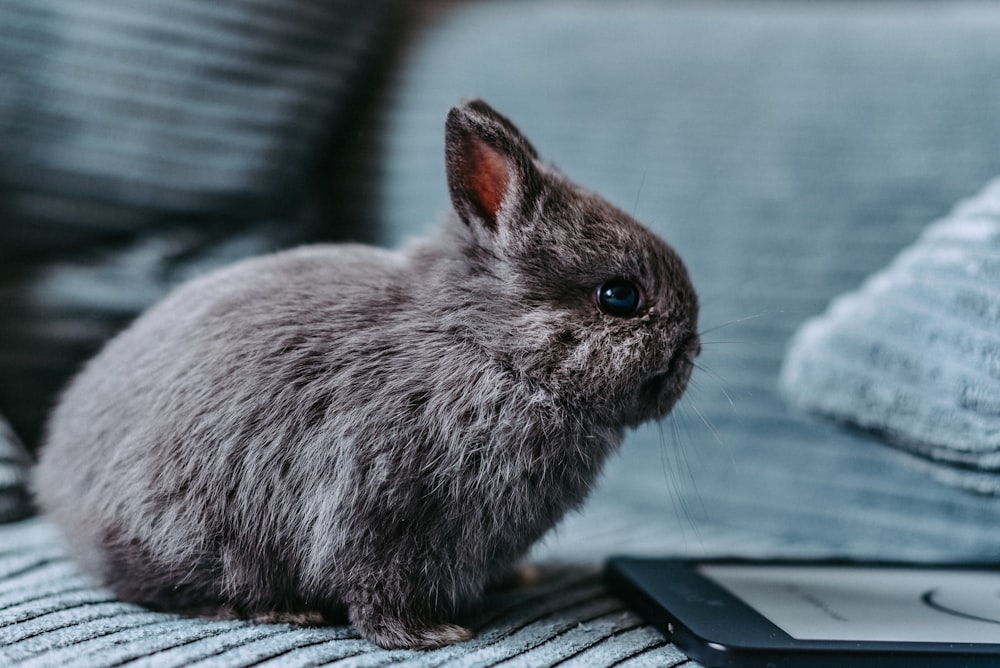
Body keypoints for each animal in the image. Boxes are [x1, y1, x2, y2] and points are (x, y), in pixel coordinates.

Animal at [33, 99, 704, 648]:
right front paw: (432, 636)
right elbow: (376, 589)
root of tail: (57, 487)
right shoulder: (379, 511)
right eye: (619, 296)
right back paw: (281, 612)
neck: (489, 348)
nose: (692, 349)